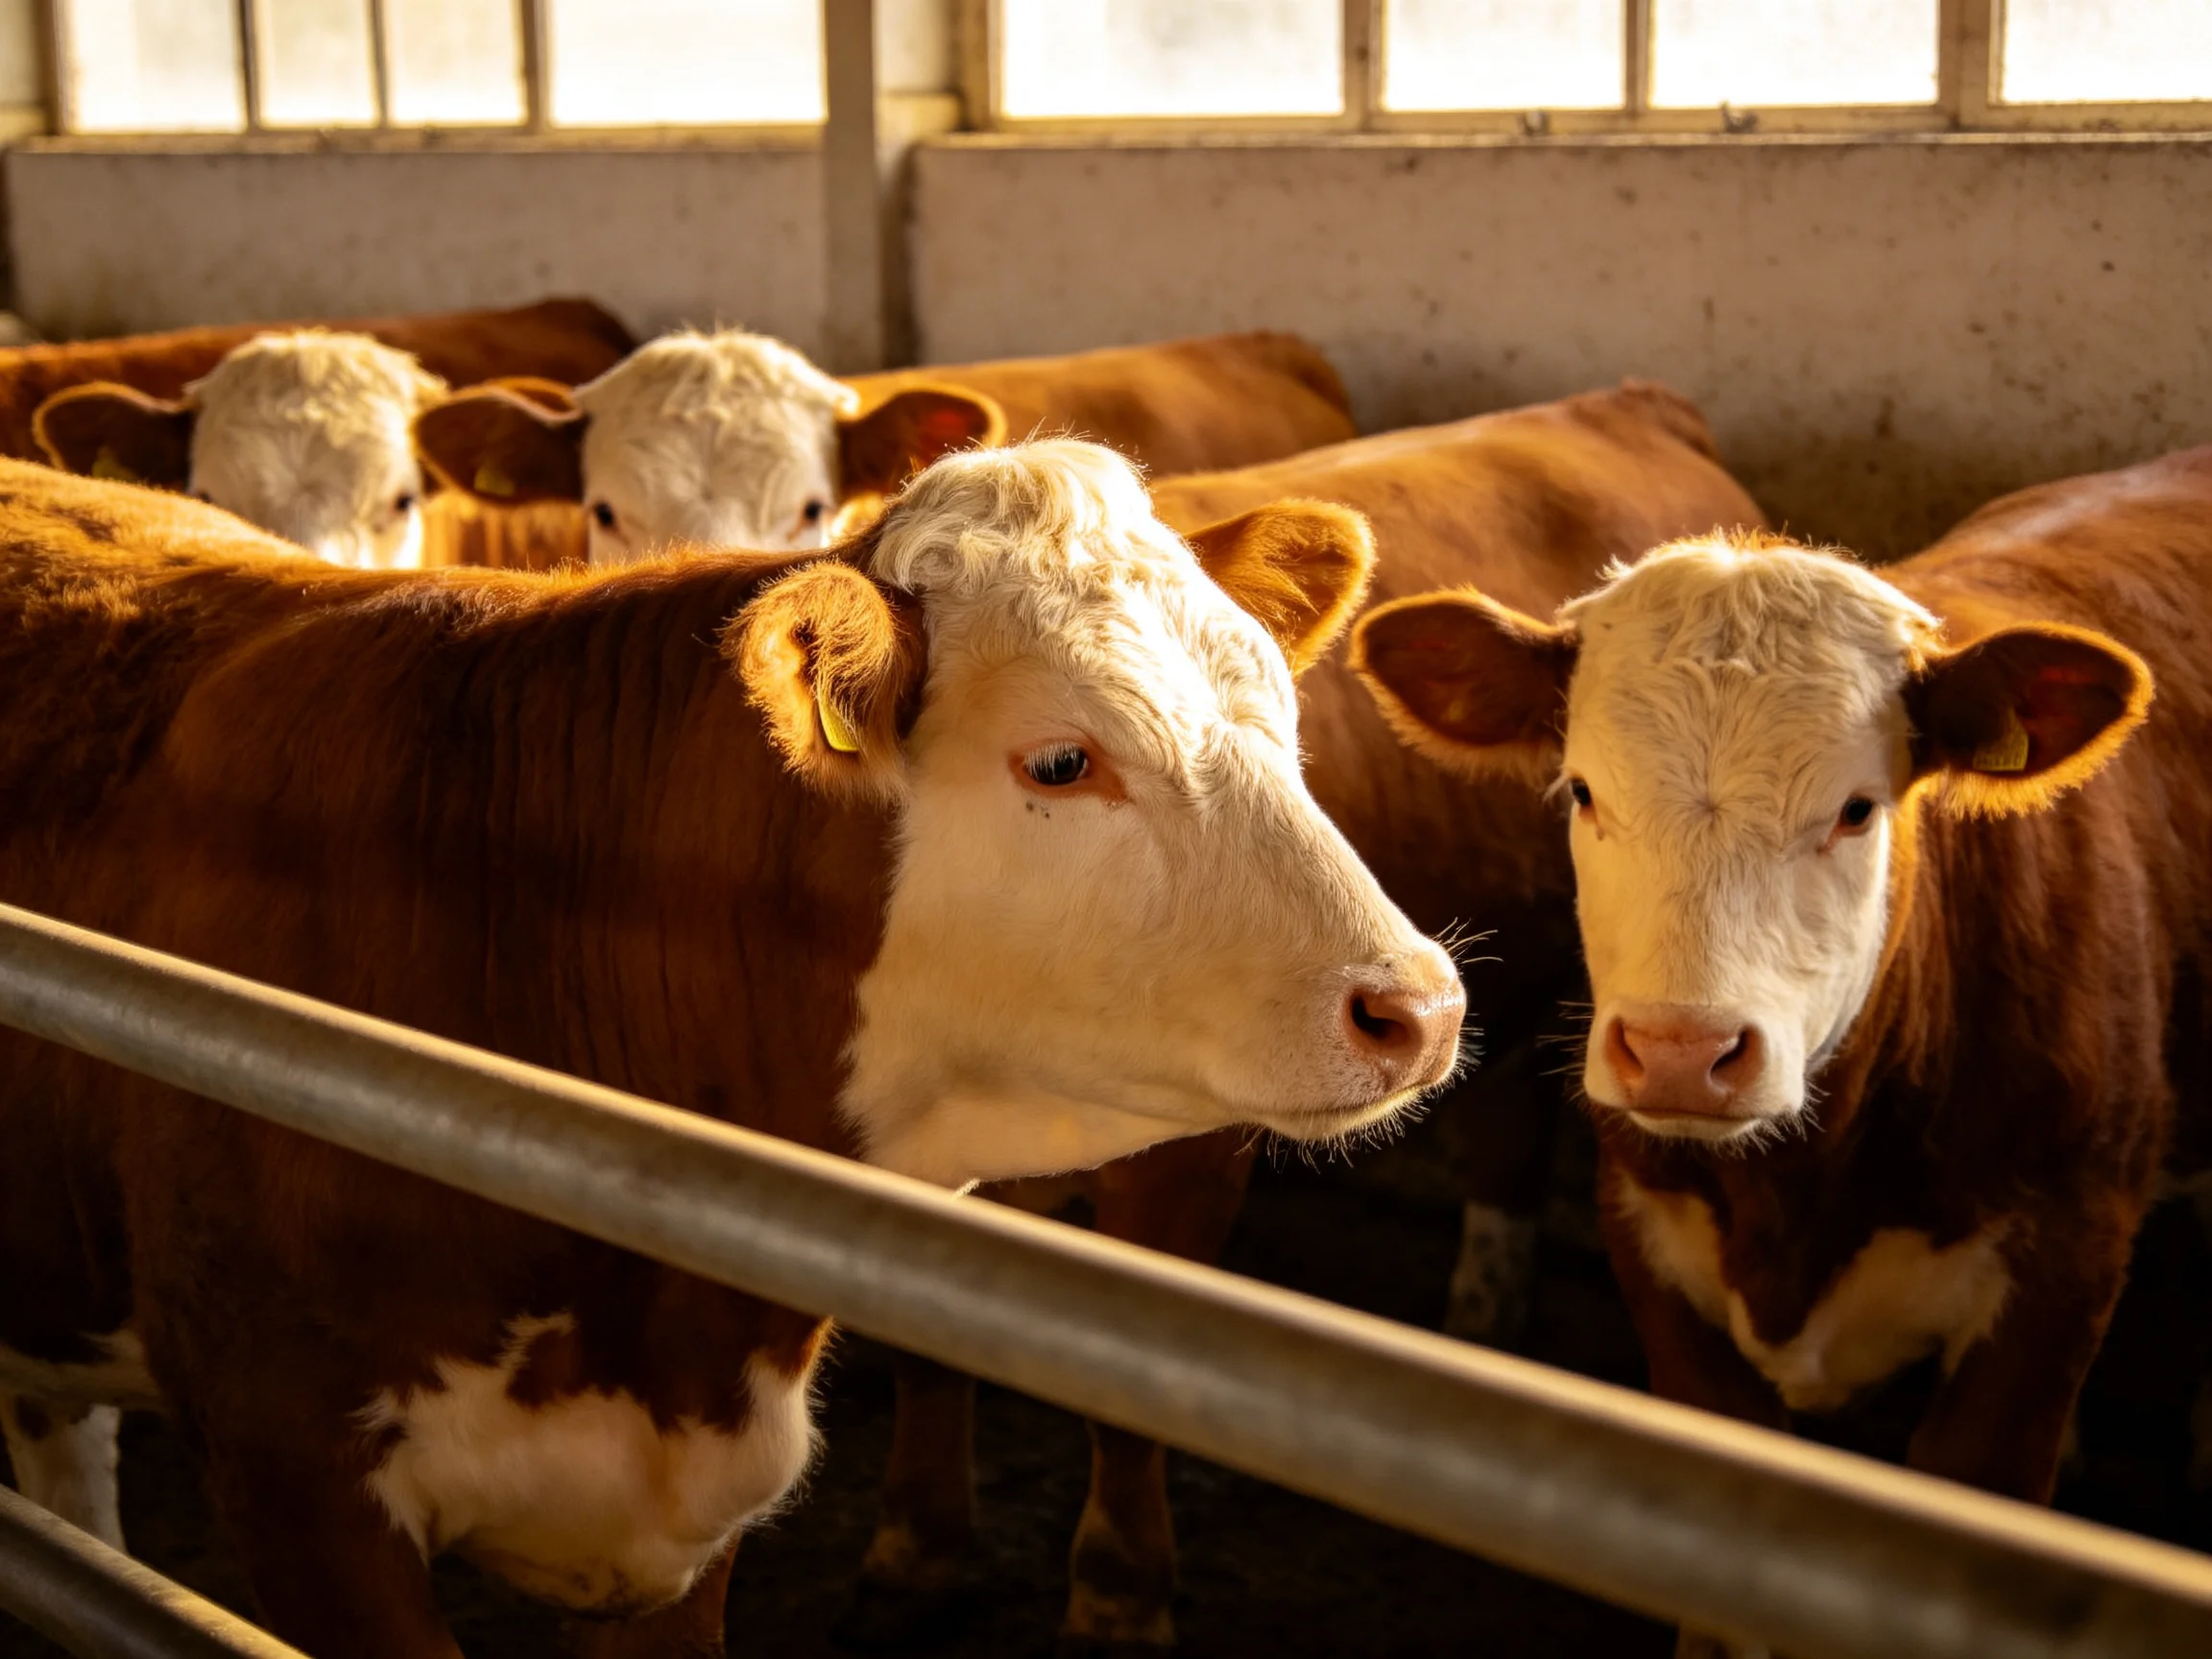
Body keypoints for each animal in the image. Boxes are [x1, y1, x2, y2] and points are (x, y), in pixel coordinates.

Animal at [1352, 447, 2212, 1656]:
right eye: (1583, 790)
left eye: (1857, 810)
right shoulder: (1655, 1254)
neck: (1802, 1196)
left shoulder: (2059, 1273)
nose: (1680, 1051)